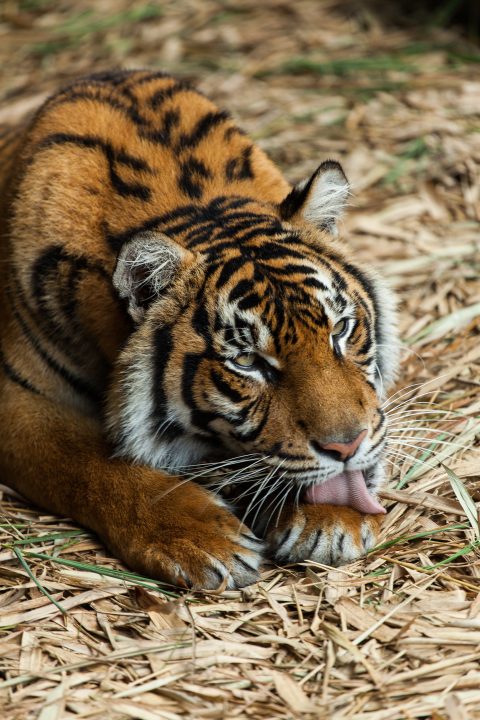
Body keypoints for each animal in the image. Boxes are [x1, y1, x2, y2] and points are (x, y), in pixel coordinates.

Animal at [0, 69, 399, 590]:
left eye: (342, 329)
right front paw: (199, 536)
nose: (347, 446)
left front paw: (332, 517)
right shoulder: (15, 397)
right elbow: (85, 459)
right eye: (246, 361)